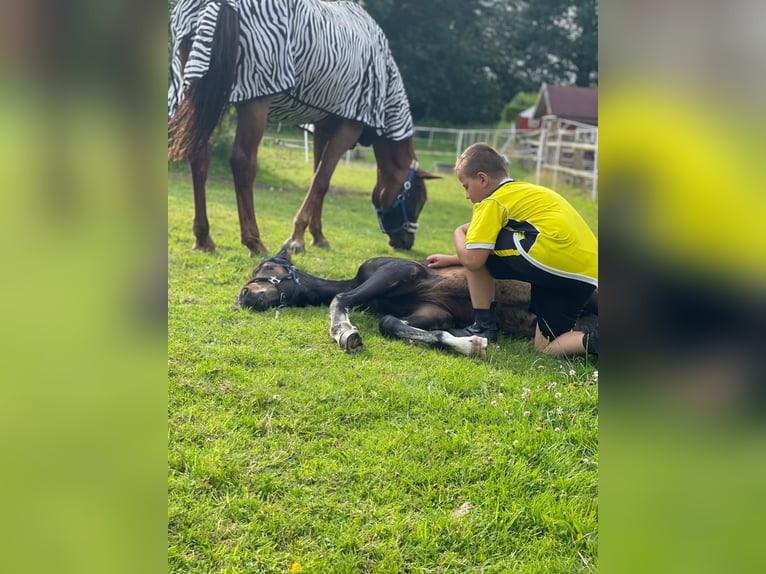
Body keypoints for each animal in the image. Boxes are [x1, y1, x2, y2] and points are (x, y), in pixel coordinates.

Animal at [166, 0, 438, 256]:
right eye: (417, 198)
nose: (406, 242)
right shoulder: (349, 126)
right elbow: (321, 181)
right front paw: (297, 238)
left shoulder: (323, 126)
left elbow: (318, 178)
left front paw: (317, 236)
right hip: (253, 102)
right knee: (243, 163)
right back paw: (254, 241)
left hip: (200, 94)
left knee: (199, 157)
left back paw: (203, 238)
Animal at [236, 251, 600, 358]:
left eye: (268, 268)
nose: (244, 295)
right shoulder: (432, 313)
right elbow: (391, 323)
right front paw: (471, 342)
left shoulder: (399, 270)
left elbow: (341, 300)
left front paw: (344, 333)